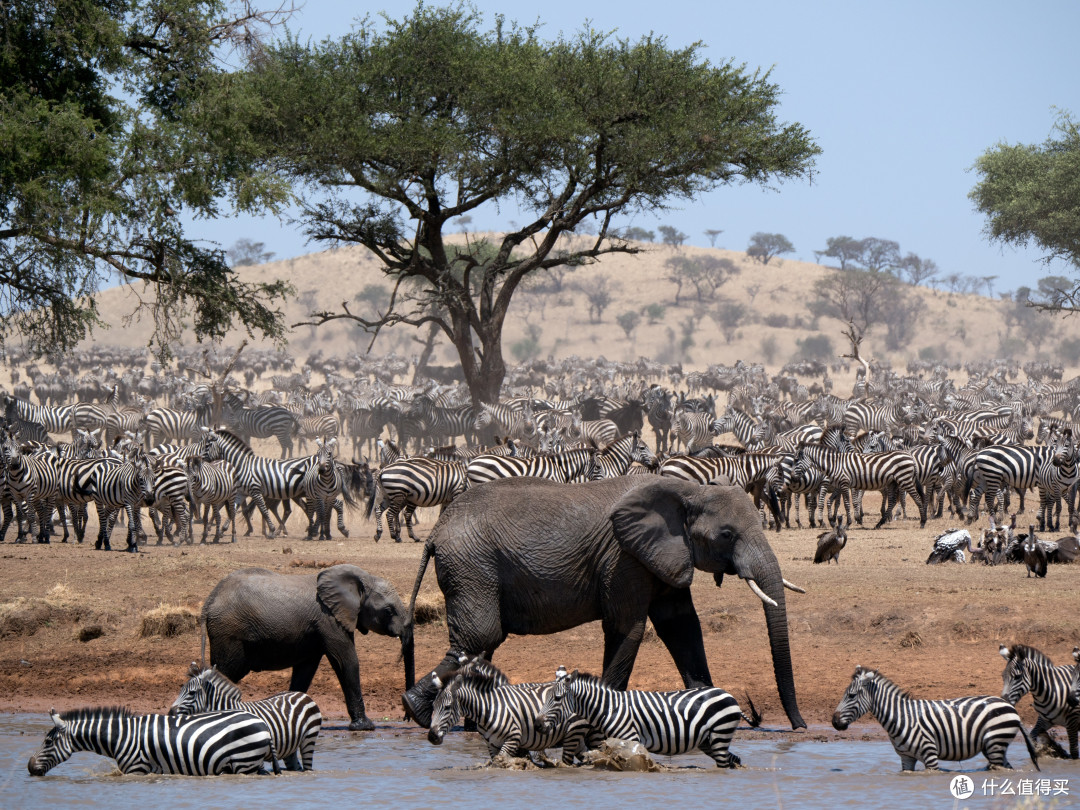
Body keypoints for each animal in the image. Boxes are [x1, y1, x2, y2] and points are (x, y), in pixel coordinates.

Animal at [201, 564, 414, 731]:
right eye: (389, 611)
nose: (406, 717)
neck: (362, 578)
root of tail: (209, 600)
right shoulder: (329, 619)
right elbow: (346, 661)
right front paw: (365, 727)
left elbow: (305, 670)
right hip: (229, 633)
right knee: (226, 672)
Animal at [402, 476, 806, 730]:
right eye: (726, 535)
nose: (800, 727)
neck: (689, 491)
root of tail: (436, 531)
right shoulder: (623, 557)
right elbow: (629, 627)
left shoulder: (664, 555)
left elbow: (682, 628)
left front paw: (708, 708)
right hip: (472, 565)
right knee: (479, 638)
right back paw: (417, 711)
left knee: (480, 645)